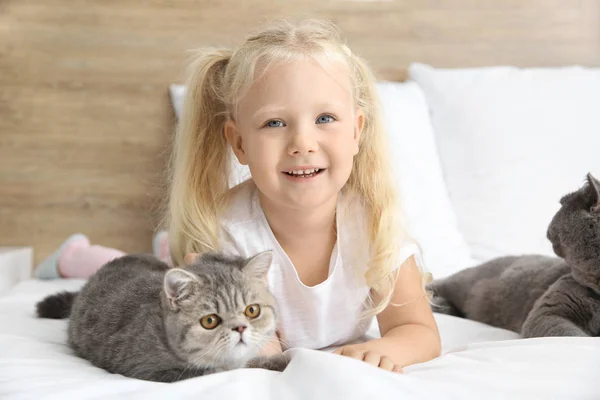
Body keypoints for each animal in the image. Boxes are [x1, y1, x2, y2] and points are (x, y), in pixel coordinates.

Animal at [36, 250, 290, 382]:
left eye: (252, 310)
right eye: (210, 321)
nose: (240, 328)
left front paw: (278, 360)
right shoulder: (149, 369)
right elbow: (227, 370)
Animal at [428, 172, 600, 338]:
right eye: (561, 203)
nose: (548, 225)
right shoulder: (547, 312)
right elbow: (573, 336)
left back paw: (442, 305)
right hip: (464, 281)